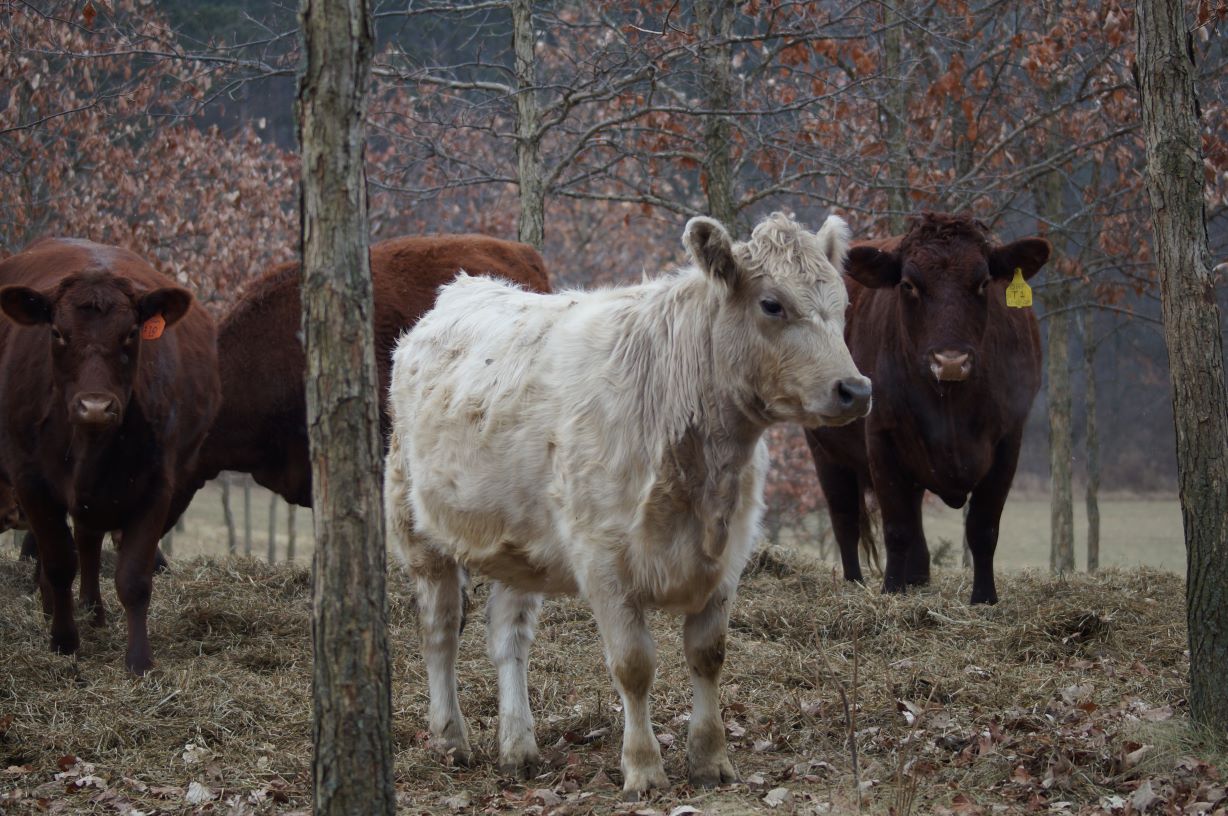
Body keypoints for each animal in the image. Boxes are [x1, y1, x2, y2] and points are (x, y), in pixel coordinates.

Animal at [0, 238, 221, 674]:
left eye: (132, 332)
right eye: (57, 332)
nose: (96, 407)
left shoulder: (156, 486)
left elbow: (133, 579)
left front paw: (139, 660)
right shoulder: (30, 481)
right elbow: (58, 562)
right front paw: (64, 641)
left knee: (88, 540)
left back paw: (93, 610)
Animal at [384, 212, 872, 796]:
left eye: (842, 301)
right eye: (772, 304)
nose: (855, 389)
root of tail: (462, 288)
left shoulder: (727, 556)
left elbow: (708, 655)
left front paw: (710, 758)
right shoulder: (603, 561)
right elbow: (634, 665)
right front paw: (643, 767)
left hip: (522, 543)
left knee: (508, 636)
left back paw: (518, 747)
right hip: (416, 527)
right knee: (439, 630)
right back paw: (451, 739)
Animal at [805, 212, 1050, 605]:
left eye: (983, 282)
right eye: (908, 285)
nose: (950, 361)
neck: (951, 407)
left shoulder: (1009, 439)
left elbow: (983, 527)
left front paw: (984, 597)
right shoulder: (882, 437)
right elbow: (897, 526)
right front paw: (891, 590)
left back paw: (918, 579)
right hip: (825, 451)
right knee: (845, 519)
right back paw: (855, 583)